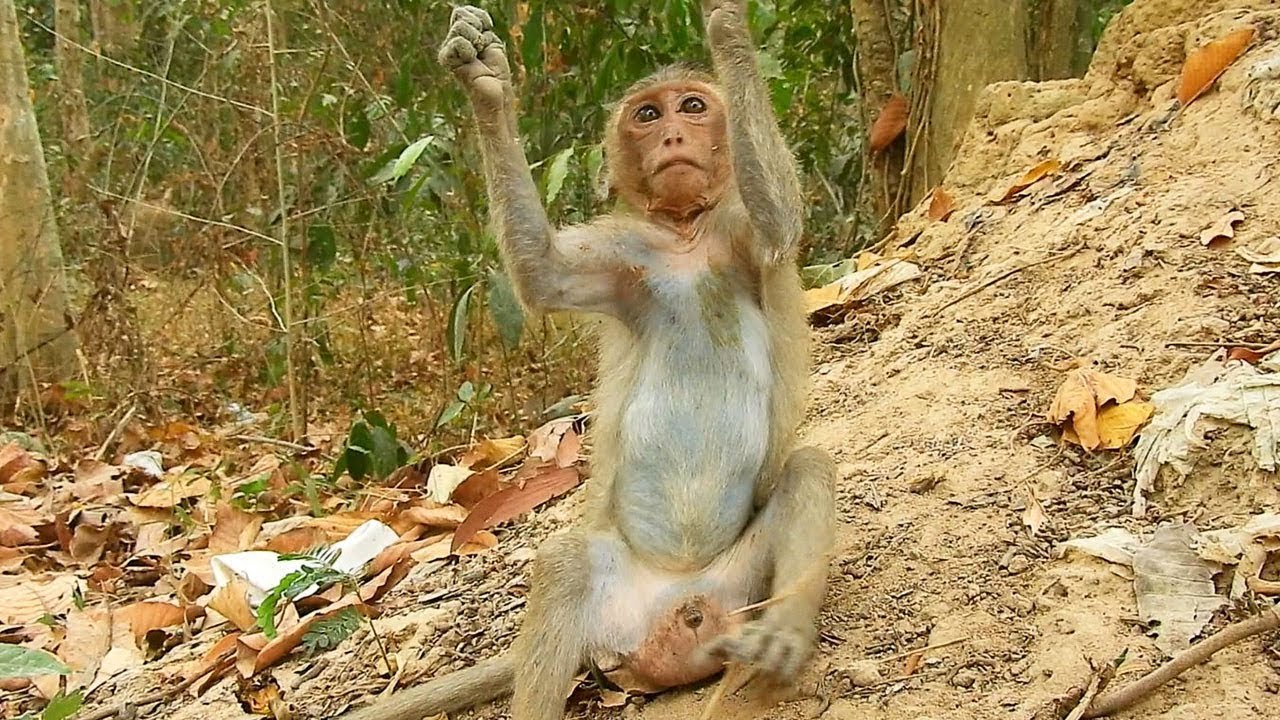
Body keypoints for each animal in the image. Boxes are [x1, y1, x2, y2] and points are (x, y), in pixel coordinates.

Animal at [338, 3, 836, 719]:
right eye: (648, 115)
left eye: (693, 105)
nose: (672, 135)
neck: (685, 239)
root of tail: (680, 612)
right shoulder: (623, 253)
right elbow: (545, 277)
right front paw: (487, 84)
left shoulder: (741, 230)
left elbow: (780, 225)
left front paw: (726, 27)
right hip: (616, 611)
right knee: (566, 564)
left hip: (742, 588)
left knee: (807, 468)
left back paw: (787, 633)